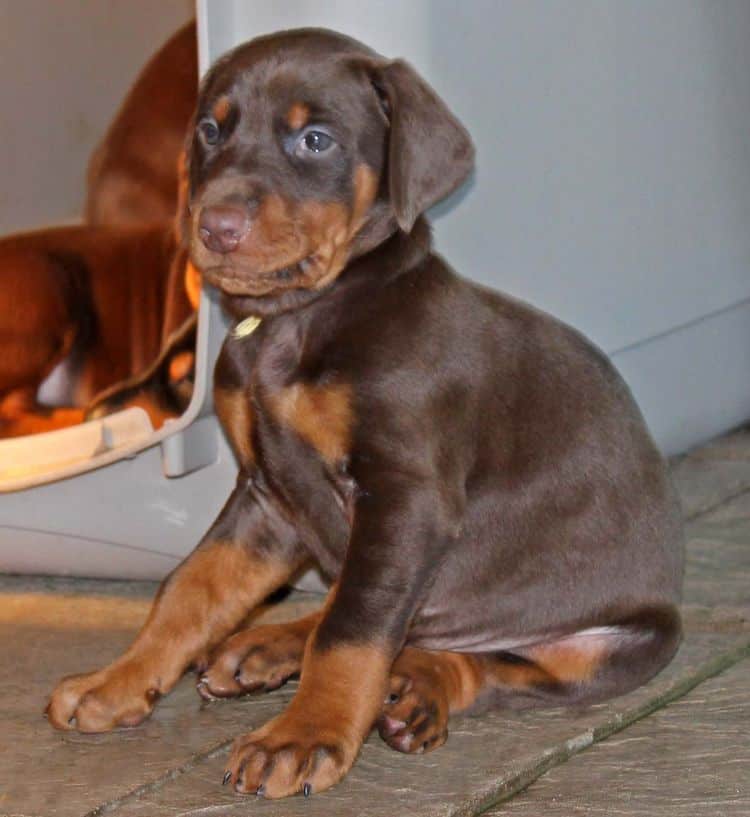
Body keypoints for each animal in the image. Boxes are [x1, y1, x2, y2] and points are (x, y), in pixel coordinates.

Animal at [44, 30, 684, 796]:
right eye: (210, 131)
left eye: (315, 139)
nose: (213, 226)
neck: (299, 317)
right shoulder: (268, 494)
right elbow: (190, 588)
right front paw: (116, 681)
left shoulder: (406, 497)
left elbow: (352, 627)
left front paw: (302, 735)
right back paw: (267, 647)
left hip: (618, 643)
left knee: (471, 662)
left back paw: (414, 692)